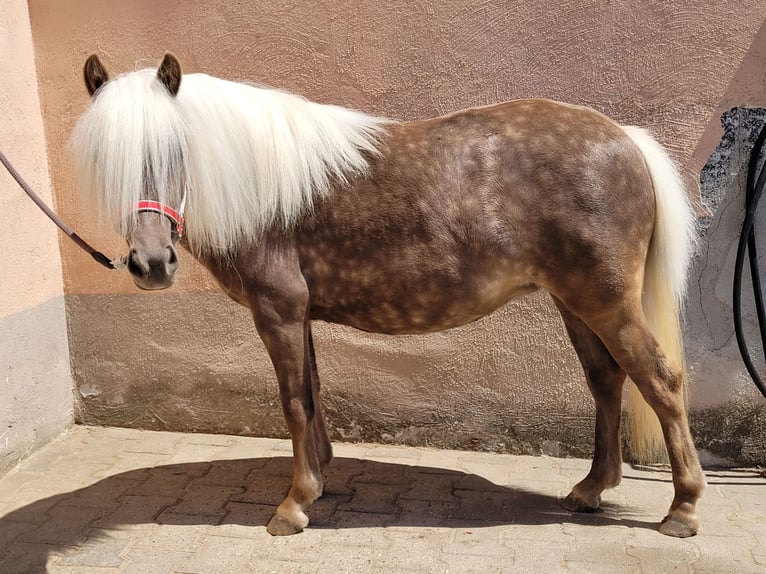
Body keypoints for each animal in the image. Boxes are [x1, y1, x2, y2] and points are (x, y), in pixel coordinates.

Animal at [71, 53, 705, 538]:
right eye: (107, 159)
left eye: (176, 150)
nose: (151, 264)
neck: (266, 186)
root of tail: (625, 139)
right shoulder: (300, 314)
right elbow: (312, 393)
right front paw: (319, 482)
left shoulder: (278, 309)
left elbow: (293, 402)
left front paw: (293, 506)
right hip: (575, 304)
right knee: (607, 380)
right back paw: (592, 488)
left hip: (604, 302)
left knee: (660, 380)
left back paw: (683, 508)